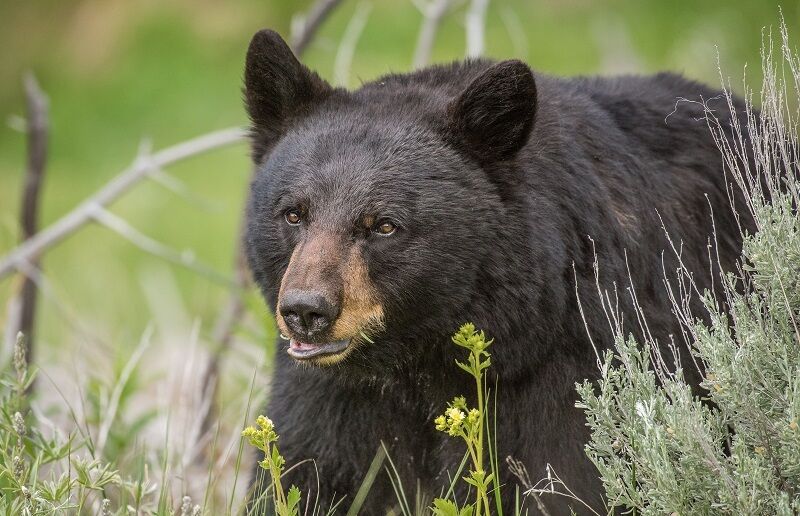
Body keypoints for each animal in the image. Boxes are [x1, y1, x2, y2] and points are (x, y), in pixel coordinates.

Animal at [242, 29, 751, 515]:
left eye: (384, 225)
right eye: (293, 213)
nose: (306, 311)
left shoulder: (578, 367)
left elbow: (570, 480)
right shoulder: (330, 399)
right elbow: (305, 475)